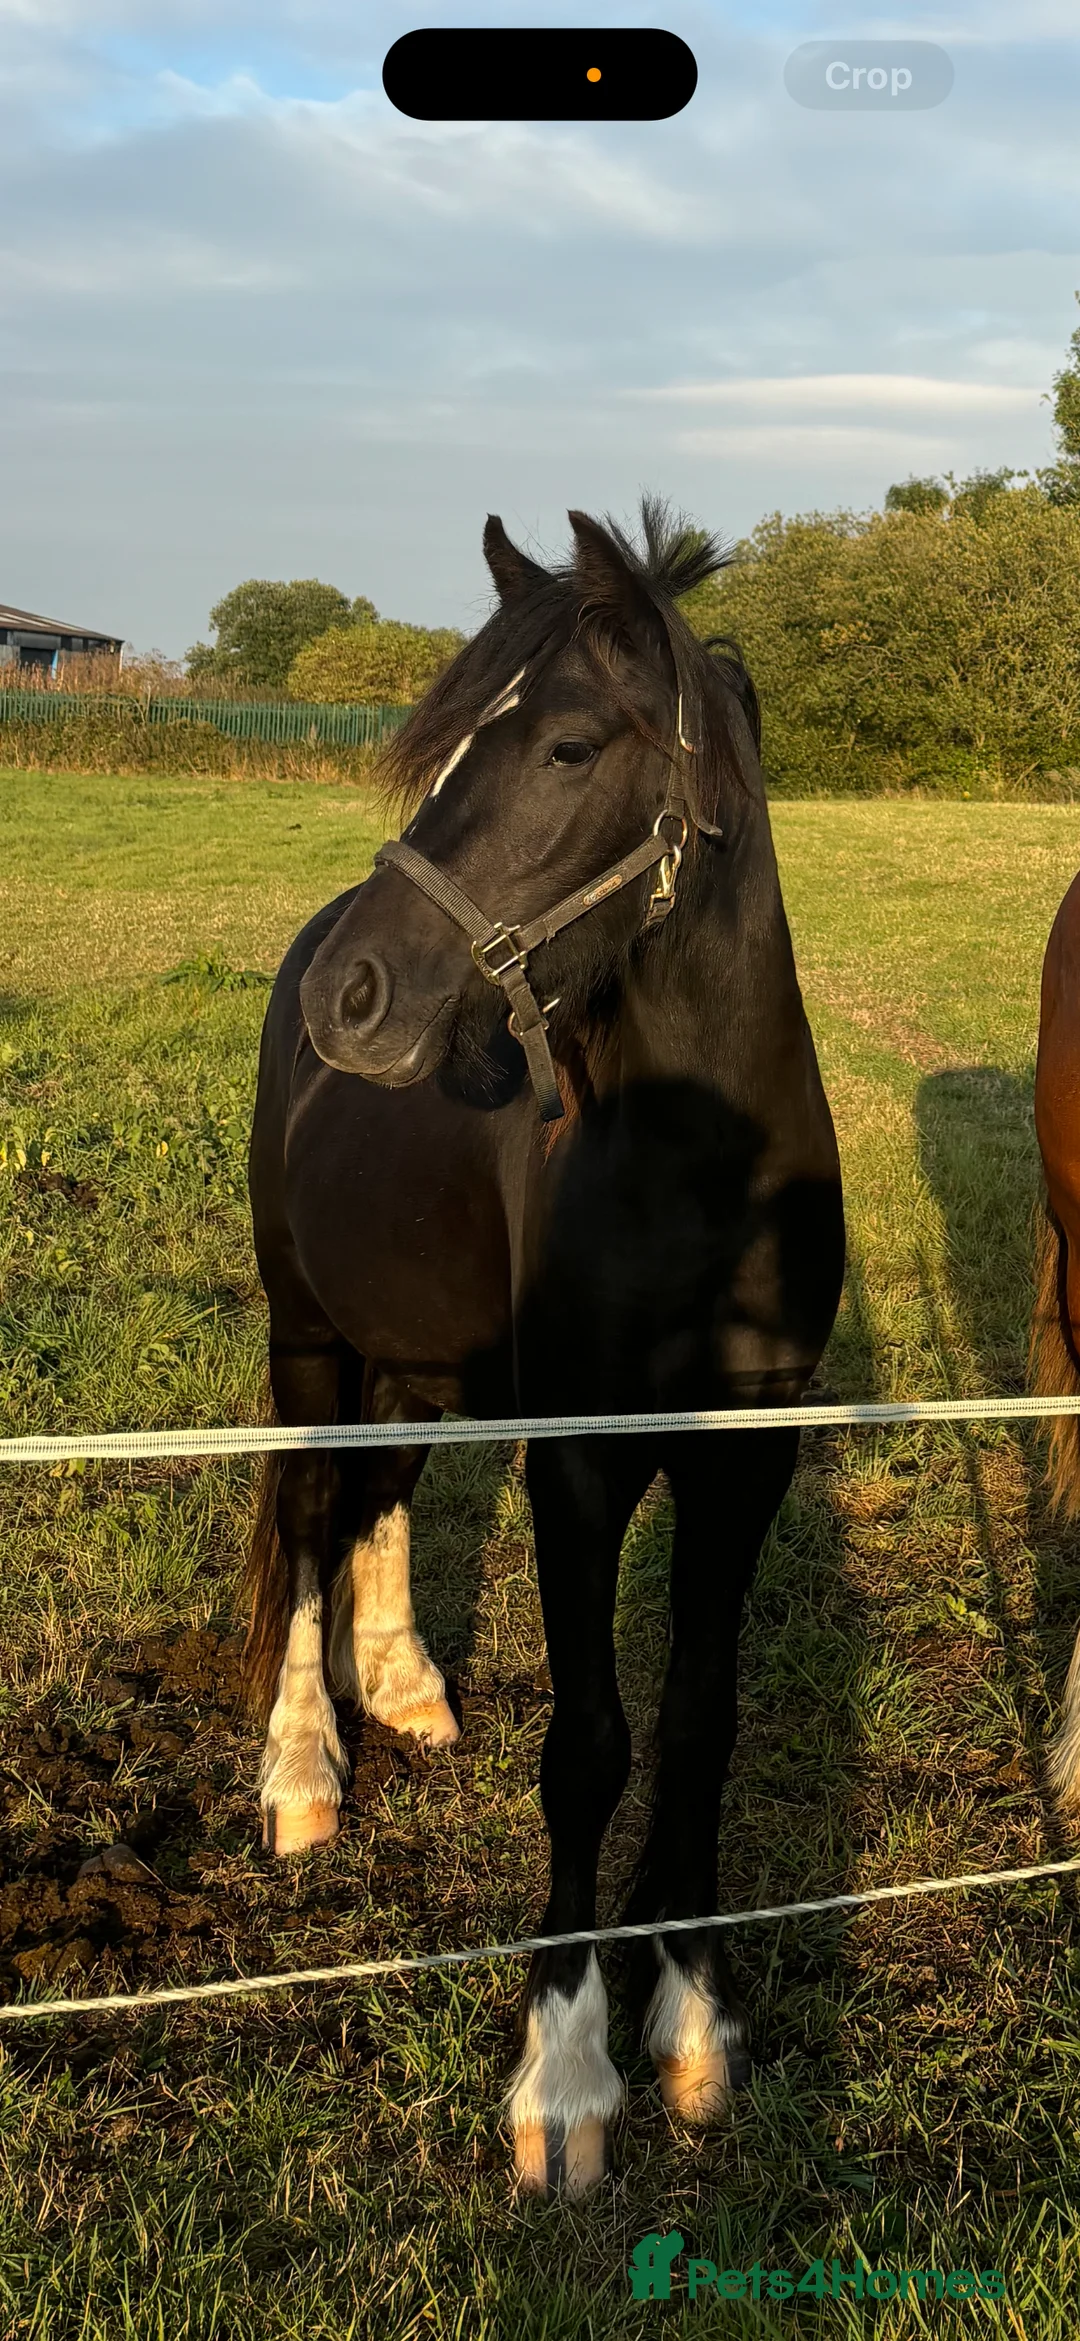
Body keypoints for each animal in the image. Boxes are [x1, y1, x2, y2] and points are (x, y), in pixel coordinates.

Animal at [244, 499, 846, 2196]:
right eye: (450, 750)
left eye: (570, 745)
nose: (357, 995)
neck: (698, 1167)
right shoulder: (578, 1463)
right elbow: (589, 1743)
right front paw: (566, 2073)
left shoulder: (746, 1459)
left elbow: (698, 1726)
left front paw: (694, 2016)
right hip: (308, 1333)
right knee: (307, 1512)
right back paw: (304, 1768)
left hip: (421, 1355)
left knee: (376, 1497)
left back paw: (406, 1684)